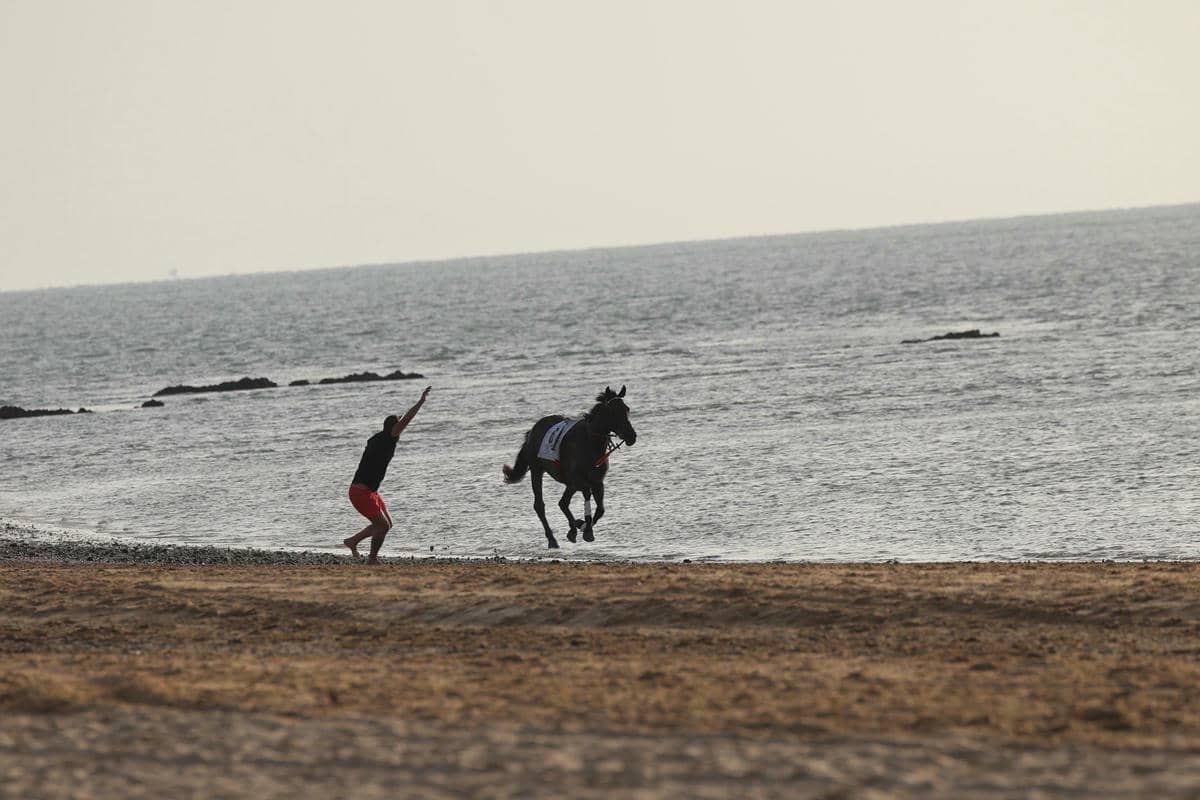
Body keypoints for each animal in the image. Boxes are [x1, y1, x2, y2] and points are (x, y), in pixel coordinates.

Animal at [502, 386, 638, 548]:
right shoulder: (577, 481)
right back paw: (552, 539)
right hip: (537, 471)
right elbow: (576, 499)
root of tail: (531, 432)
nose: (631, 436)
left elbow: (600, 509)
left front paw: (583, 526)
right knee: (540, 505)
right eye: (612, 412)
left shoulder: (597, 482)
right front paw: (582, 530)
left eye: (626, 409)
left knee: (567, 502)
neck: (589, 442)